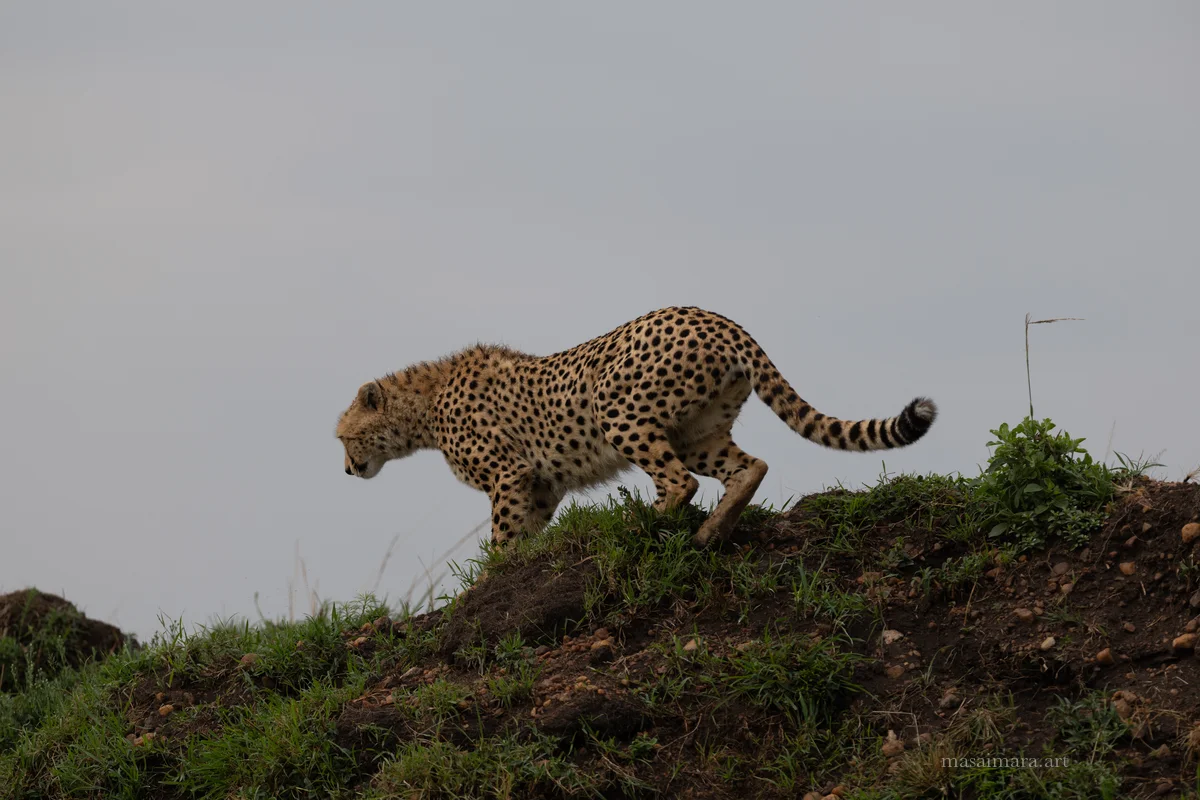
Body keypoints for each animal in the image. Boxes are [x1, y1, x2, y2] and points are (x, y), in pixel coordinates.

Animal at [335, 306, 937, 548]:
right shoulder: (541, 483)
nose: (345, 470)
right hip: (695, 431)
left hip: (617, 409)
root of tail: (716, 317)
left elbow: (502, 538)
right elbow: (525, 535)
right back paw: (710, 531)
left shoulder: (509, 476)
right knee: (748, 467)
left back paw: (641, 524)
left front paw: (486, 580)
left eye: (343, 437)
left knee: (678, 481)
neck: (424, 404)